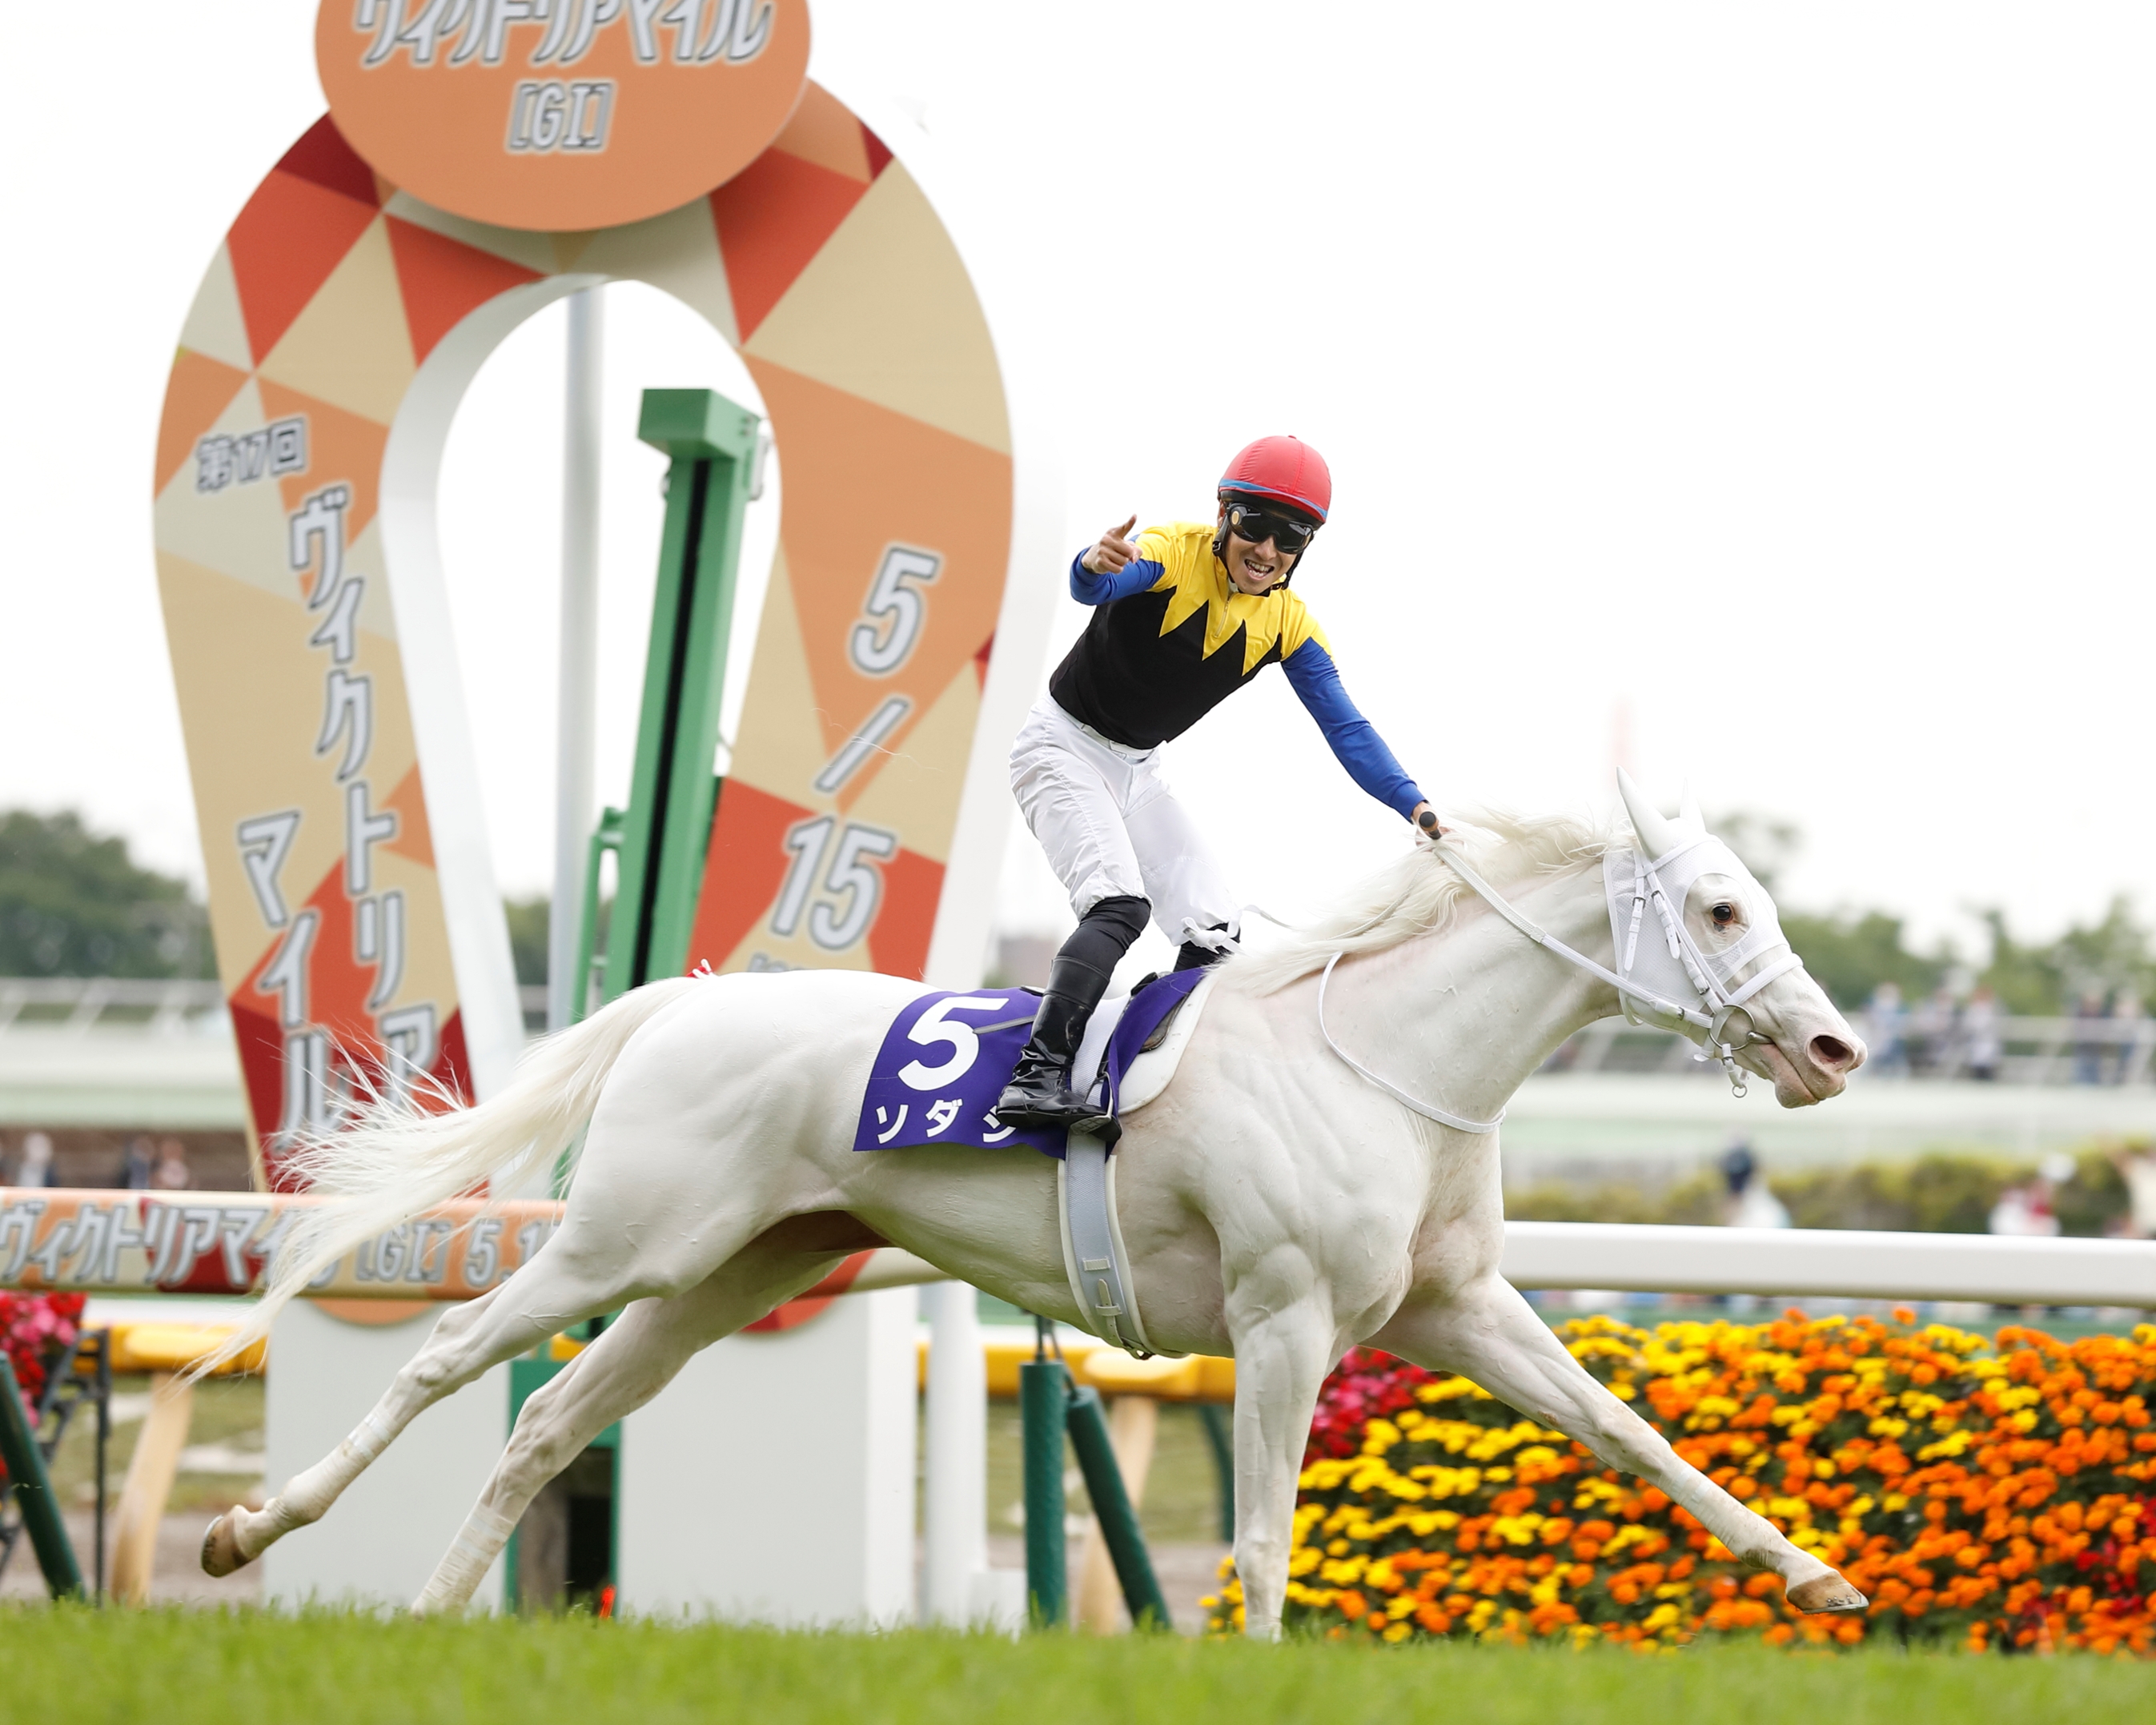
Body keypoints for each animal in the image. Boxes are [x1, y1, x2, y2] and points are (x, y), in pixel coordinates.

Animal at [200, 776, 1871, 1632]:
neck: (1388, 1062)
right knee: (446, 1355)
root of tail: (681, 1002)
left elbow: (1630, 1434)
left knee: (550, 1420)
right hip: (631, 1239)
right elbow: (1261, 1531)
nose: (1832, 1049)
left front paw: (1816, 1575)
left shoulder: (1454, 1310)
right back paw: (251, 1534)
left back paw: (433, 1606)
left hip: (738, 1272)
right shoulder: (1282, 1318)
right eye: (1722, 907)